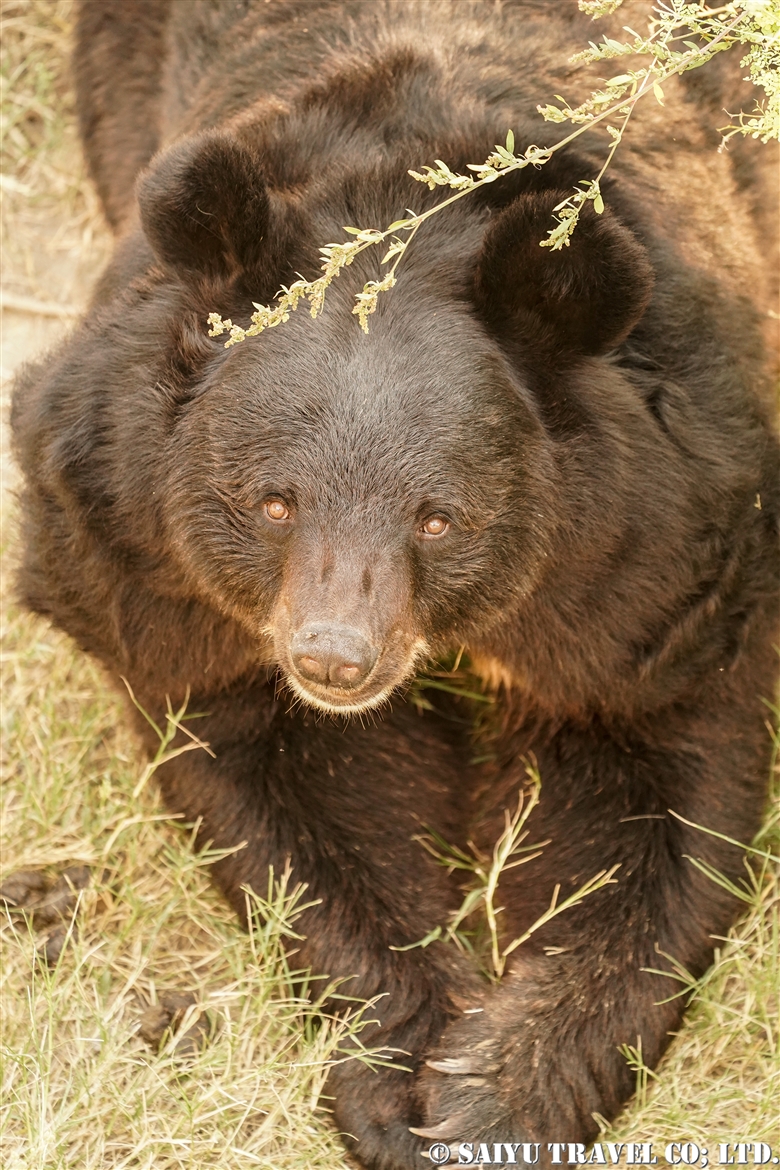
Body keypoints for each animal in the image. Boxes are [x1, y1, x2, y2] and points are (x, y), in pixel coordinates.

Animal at [9, 2, 776, 1170]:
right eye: (273, 502)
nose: (333, 658)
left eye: (438, 517)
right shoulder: (140, 553)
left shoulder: (663, 554)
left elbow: (661, 785)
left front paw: (499, 1096)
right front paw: (405, 1079)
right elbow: (284, 800)